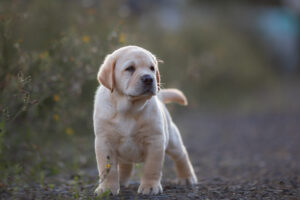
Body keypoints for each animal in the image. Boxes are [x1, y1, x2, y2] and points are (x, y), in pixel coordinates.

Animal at [94, 45, 197, 195]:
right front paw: (107, 188)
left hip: (172, 140)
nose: (149, 78)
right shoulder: (104, 141)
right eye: (130, 68)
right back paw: (121, 181)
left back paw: (187, 178)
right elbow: (107, 169)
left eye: (152, 68)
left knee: (181, 156)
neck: (128, 109)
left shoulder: (155, 140)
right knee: (125, 165)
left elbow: (151, 167)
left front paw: (150, 186)